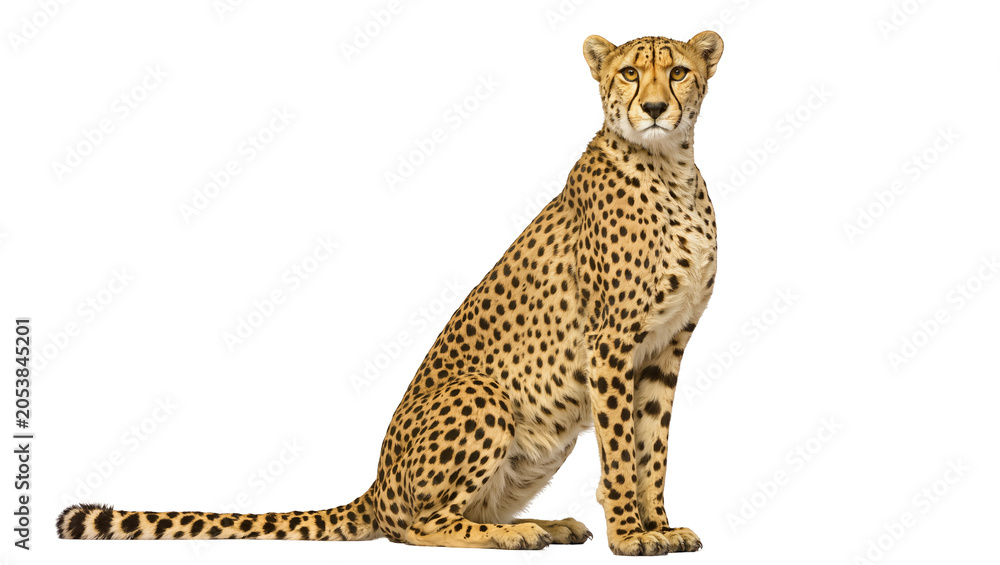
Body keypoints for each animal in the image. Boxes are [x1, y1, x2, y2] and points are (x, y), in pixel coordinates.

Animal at [57, 31, 724, 556]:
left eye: (679, 71)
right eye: (630, 72)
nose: (655, 107)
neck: (670, 167)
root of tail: (376, 486)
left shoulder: (665, 350)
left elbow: (653, 449)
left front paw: (658, 526)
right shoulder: (609, 346)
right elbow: (621, 452)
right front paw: (631, 535)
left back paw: (548, 523)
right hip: (482, 392)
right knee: (415, 525)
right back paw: (515, 533)